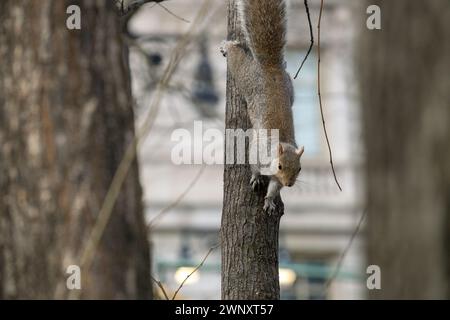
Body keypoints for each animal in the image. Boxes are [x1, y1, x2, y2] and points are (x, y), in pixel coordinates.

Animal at [220, 0, 304, 215]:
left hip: (290, 88)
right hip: (245, 76)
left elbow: (274, 187)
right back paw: (227, 46)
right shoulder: (257, 152)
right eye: (280, 166)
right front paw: (257, 178)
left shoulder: (276, 180)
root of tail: (271, 67)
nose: (289, 184)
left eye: (299, 169)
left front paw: (269, 200)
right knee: (236, 58)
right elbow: (253, 164)